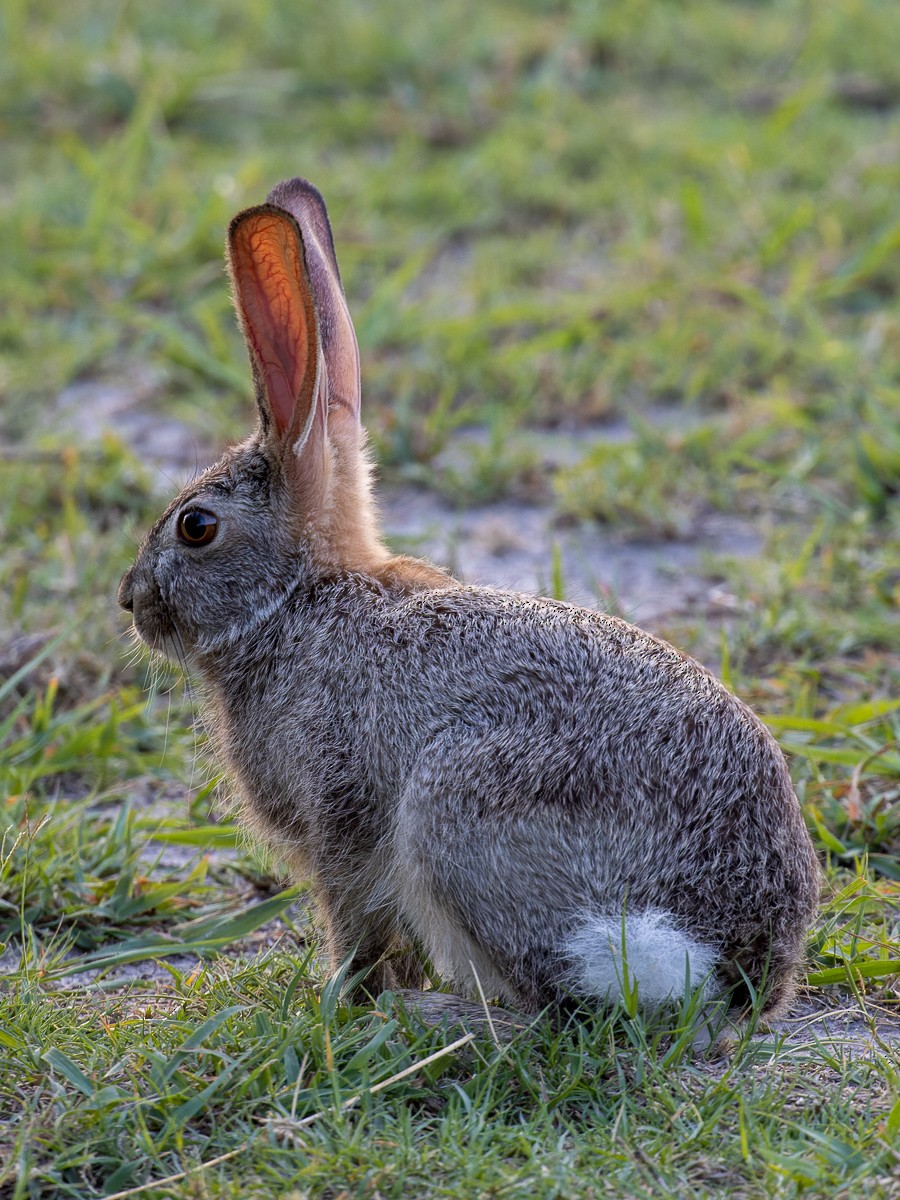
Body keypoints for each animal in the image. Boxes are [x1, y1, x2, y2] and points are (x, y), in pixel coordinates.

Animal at [118, 177, 820, 1020]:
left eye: (195, 527)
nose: (130, 602)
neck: (298, 600)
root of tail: (730, 965)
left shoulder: (340, 818)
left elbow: (354, 923)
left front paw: (344, 1002)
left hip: (453, 806)